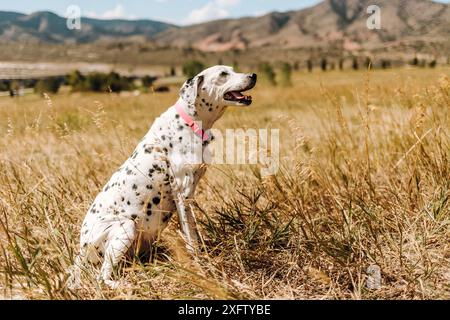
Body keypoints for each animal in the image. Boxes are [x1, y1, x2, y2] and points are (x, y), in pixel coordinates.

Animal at [72, 66, 258, 288]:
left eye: (231, 70)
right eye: (223, 74)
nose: (253, 75)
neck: (191, 122)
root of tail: (80, 252)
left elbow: (193, 233)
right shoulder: (182, 194)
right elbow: (191, 236)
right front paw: (200, 264)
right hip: (126, 227)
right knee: (102, 276)